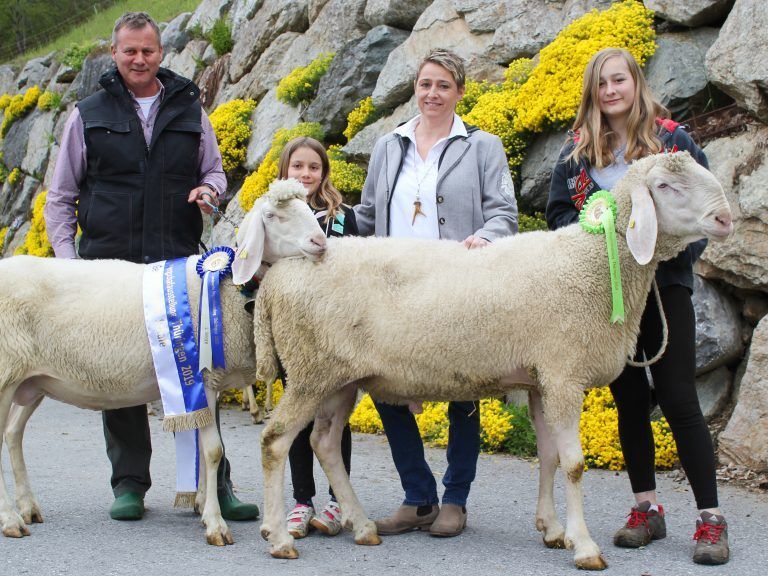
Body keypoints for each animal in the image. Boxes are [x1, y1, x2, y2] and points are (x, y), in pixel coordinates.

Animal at [0, 181, 326, 546]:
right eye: (272, 216)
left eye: (309, 210)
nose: (320, 243)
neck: (226, 287)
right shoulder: (204, 378)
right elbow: (213, 451)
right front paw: (216, 525)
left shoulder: (206, 383)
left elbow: (204, 449)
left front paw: (203, 506)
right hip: (5, 372)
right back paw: (11, 519)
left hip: (32, 380)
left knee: (13, 433)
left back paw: (28, 507)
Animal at [251, 152, 733, 569]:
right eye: (666, 186)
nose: (725, 219)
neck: (592, 264)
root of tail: (279, 274)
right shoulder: (563, 372)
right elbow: (574, 464)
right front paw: (584, 546)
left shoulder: (541, 377)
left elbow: (549, 455)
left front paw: (552, 529)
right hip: (311, 370)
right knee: (276, 441)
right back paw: (278, 537)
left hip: (339, 377)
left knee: (325, 443)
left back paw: (364, 526)